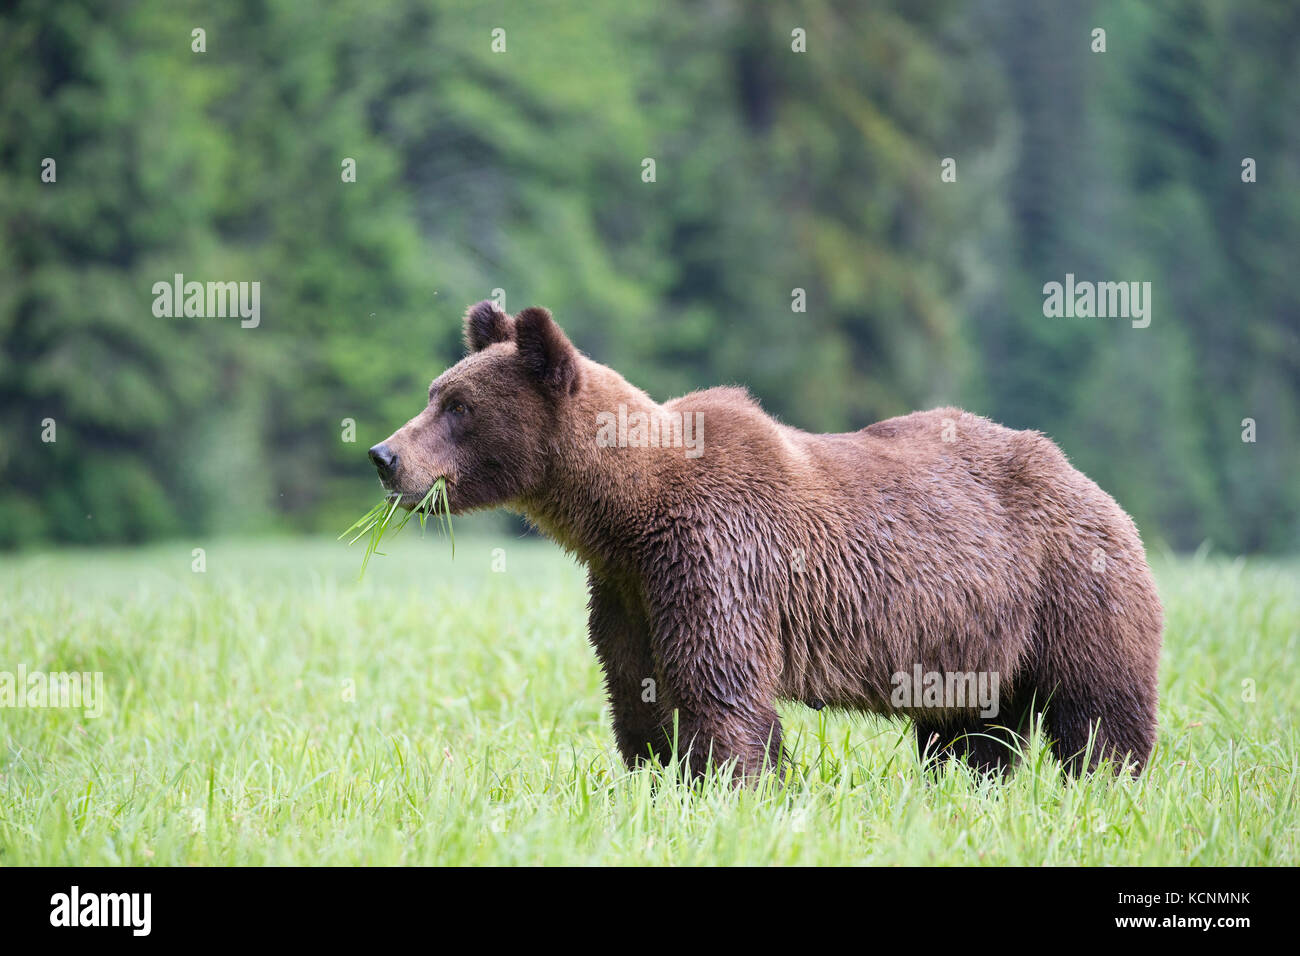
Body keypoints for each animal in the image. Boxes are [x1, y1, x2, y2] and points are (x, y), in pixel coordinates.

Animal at [371, 303, 1164, 780]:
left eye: (460, 407)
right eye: (437, 392)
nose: (385, 455)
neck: (625, 511)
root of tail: (1087, 480)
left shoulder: (714, 556)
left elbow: (720, 686)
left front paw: (734, 782)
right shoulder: (630, 587)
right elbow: (638, 692)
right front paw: (658, 775)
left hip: (1069, 588)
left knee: (1098, 709)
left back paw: (1105, 781)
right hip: (973, 640)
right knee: (971, 731)